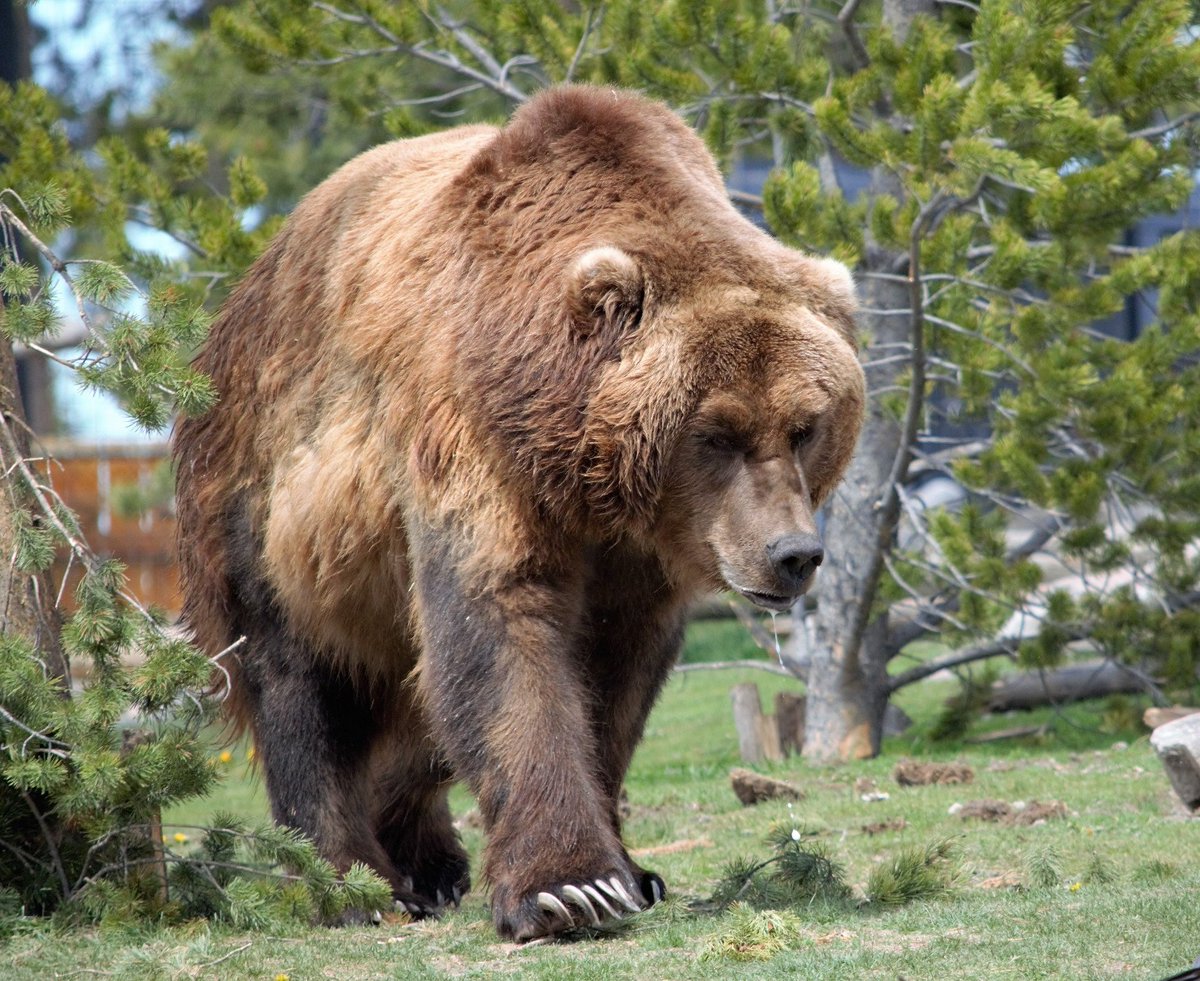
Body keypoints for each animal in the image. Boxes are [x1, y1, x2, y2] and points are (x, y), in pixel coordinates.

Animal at [171, 85, 864, 940]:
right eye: (717, 432)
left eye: (805, 426)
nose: (792, 553)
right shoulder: (467, 438)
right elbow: (499, 632)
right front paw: (571, 888)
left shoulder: (636, 551)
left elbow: (612, 678)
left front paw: (631, 871)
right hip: (268, 504)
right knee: (301, 683)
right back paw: (350, 881)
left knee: (410, 704)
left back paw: (429, 860)